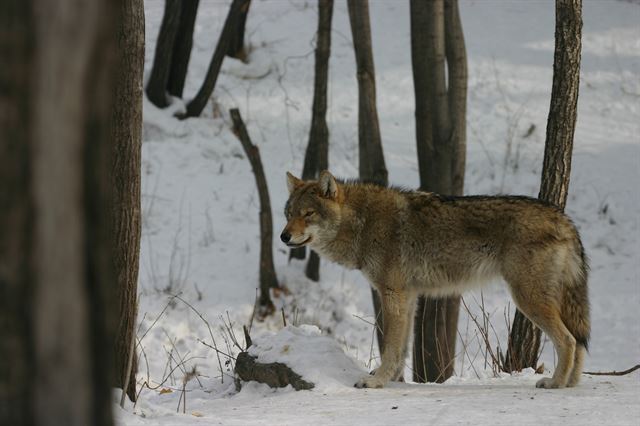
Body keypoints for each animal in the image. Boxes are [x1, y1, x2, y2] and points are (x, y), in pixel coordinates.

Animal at [280, 171, 592, 390]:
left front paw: (375, 381)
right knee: (579, 341)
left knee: (568, 340)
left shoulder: (392, 294)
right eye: (288, 214)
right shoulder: (408, 297)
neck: (362, 224)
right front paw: (390, 378)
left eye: (308, 214)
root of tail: (564, 218)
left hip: (528, 299)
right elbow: (400, 348)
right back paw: (571, 383)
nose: (283, 236)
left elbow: (390, 345)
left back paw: (555, 383)